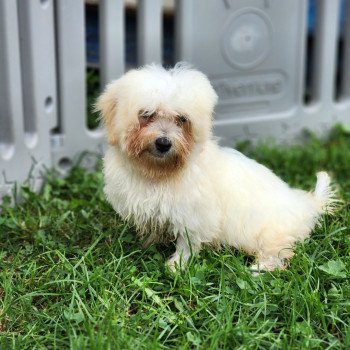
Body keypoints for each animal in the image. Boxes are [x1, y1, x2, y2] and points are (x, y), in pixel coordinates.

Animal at [95, 63, 336, 274]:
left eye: (182, 119)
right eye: (147, 114)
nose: (163, 143)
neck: (160, 173)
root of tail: (307, 204)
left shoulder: (195, 216)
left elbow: (187, 243)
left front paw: (177, 266)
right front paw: (148, 244)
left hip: (271, 232)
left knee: (277, 253)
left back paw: (259, 269)